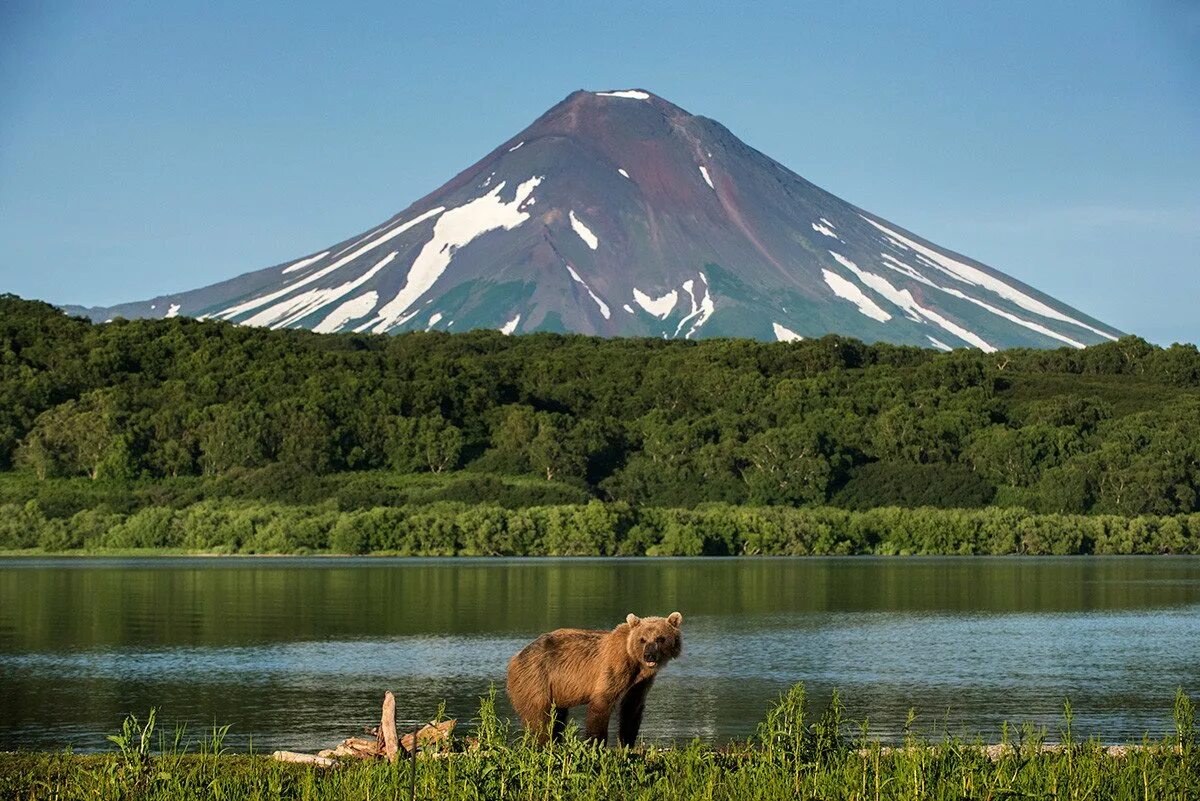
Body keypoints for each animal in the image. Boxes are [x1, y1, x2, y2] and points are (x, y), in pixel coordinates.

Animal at [501, 613, 681, 743]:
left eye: (660, 638)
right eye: (642, 639)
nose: (649, 655)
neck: (635, 662)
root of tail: (515, 658)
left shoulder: (640, 682)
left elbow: (632, 708)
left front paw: (627, 743)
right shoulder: (614, 668)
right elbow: (601, 704)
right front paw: (595, 743)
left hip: (556, 689)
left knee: (557, 718)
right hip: (535, 678)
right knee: (540, 718)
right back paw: (543, 743)